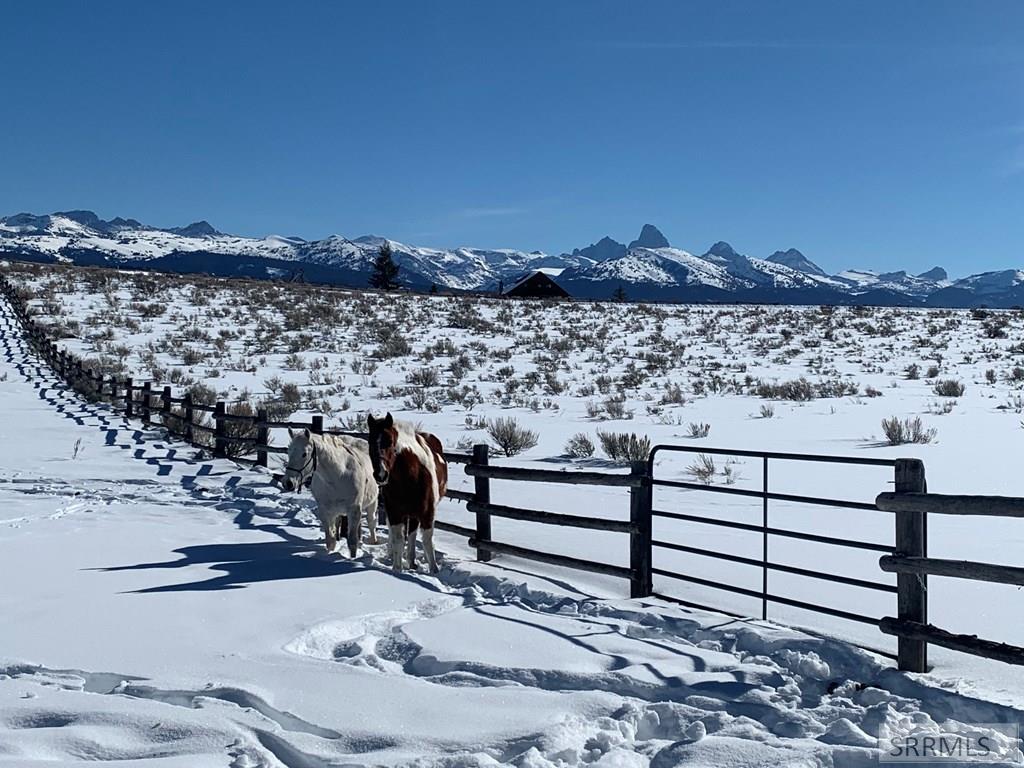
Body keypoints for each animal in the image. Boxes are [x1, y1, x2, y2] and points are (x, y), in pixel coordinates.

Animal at [368, 415, 448, 573]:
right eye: (370, 441)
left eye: (390, 441)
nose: (381, 475)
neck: (411, 475)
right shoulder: (395, 512)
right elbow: (398, 540)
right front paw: (397, 568)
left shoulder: (427, 512)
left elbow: (427, 540)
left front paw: (434, 569)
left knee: (412, 534)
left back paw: (412, 561)